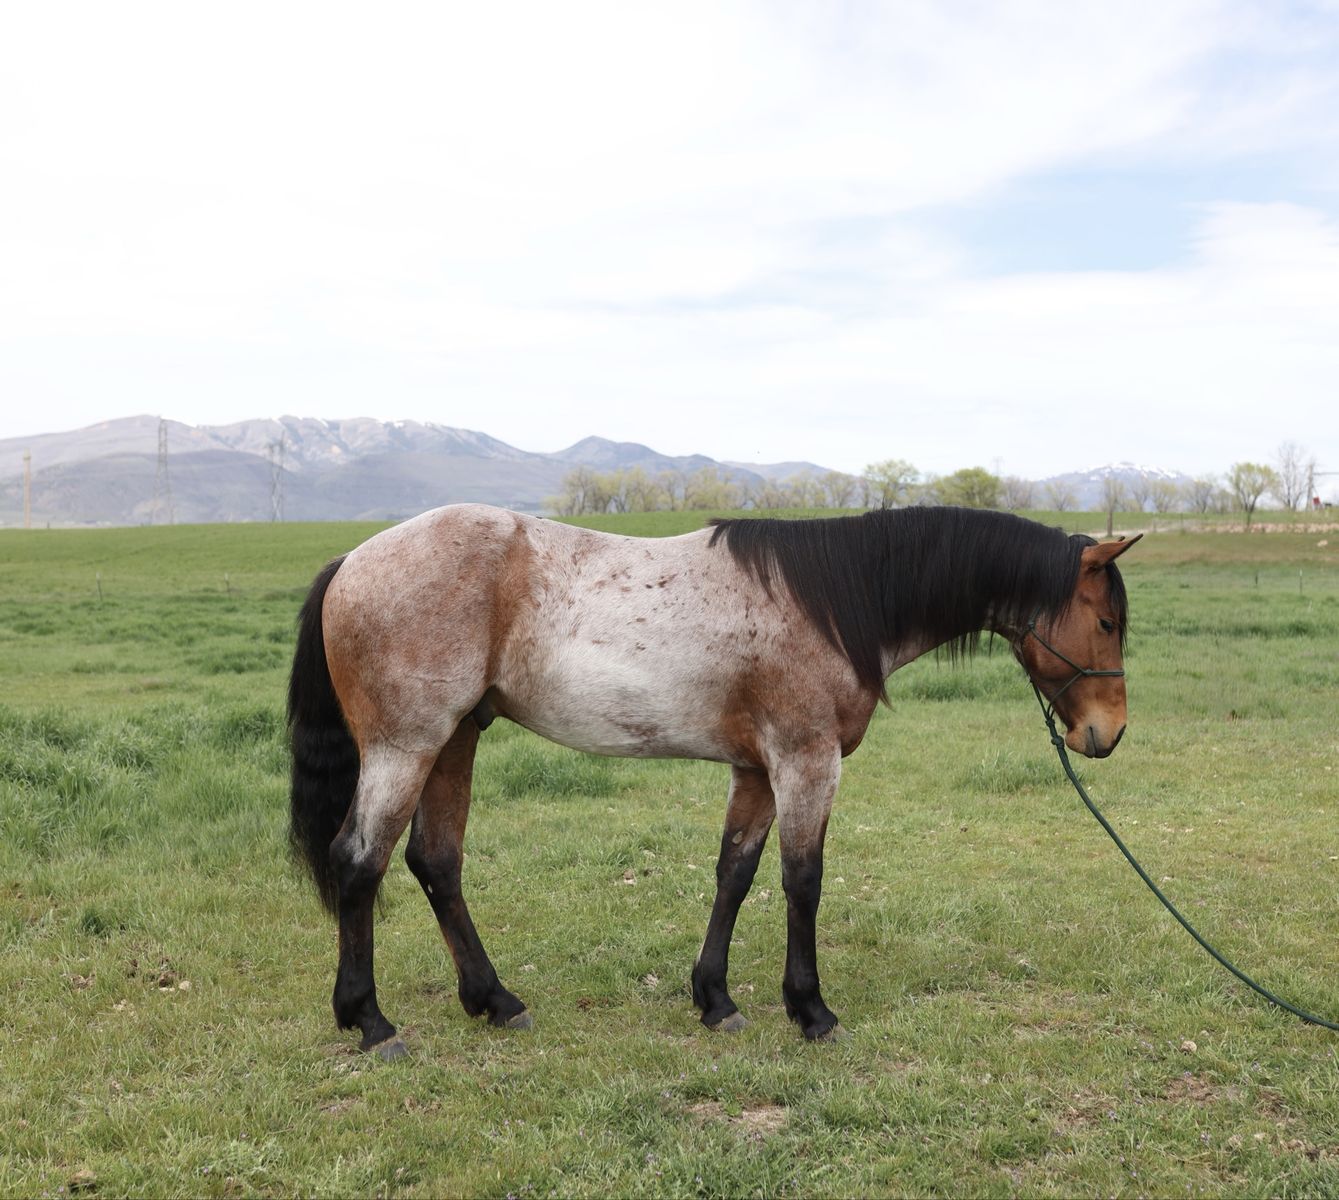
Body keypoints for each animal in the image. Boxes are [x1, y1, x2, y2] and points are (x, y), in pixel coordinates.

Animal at [288, 503, 1139, 1057]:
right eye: (1105, 622)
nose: (1106, 735)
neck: (830, 603)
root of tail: (352, 562)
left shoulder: (755, 769)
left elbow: (735, 873)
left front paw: (715, 1000)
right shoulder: (804, 760)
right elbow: (802, 881)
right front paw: (810, 1010)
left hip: (455, 739)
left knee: (436, 861)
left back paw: (494, 1001)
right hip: (407, 745)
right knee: (358, 862)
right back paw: (370, 1023)